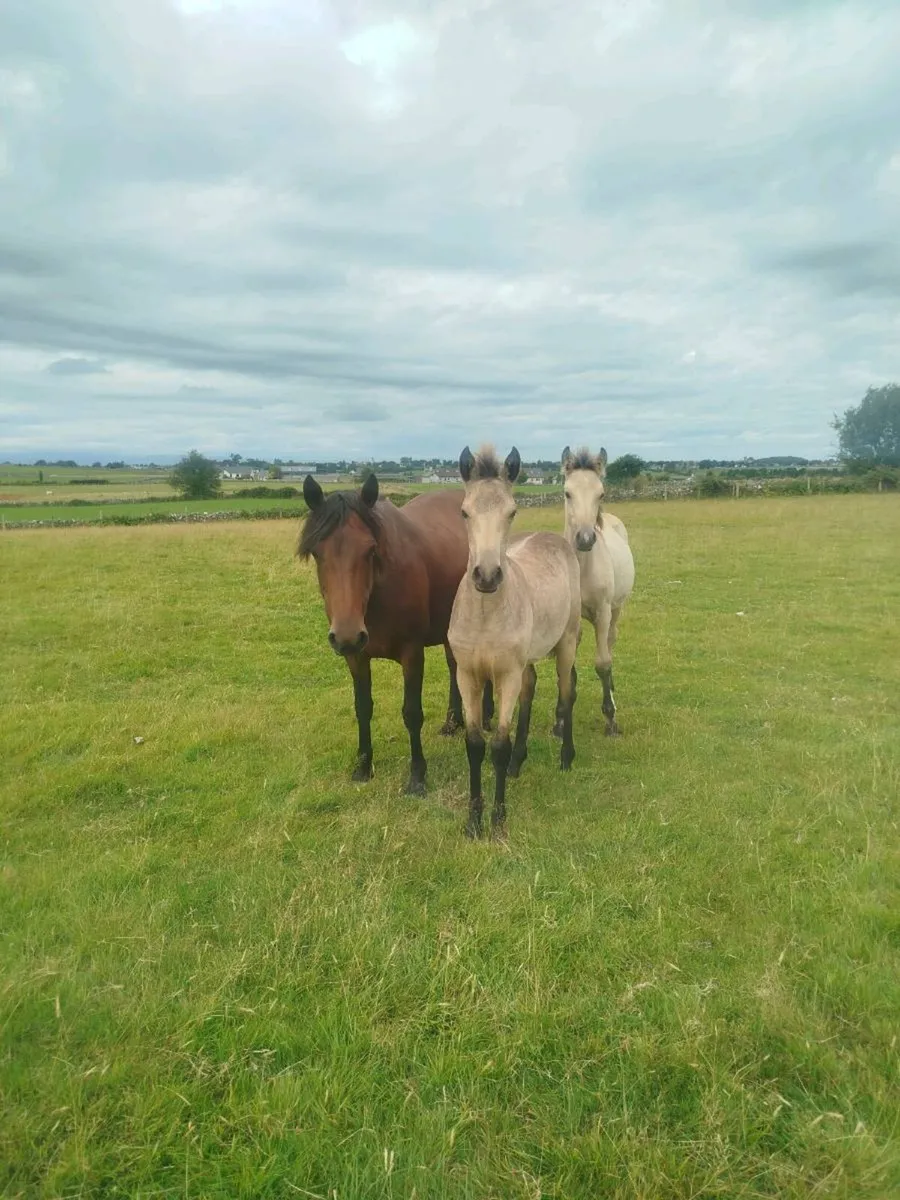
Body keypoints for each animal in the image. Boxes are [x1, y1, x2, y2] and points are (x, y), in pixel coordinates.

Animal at [298, 473, 493, 795]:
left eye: (370, 550)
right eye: (317, 552)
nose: (347, 635)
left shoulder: (411, 653)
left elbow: (412, 713)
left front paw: (417, 777)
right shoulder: (356, 657)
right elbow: (362, 708)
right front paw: (363, 766)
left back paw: (487, 716)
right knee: (455, 666)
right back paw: (453, 722)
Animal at [447, 445, 582, 840]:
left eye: (512, 512)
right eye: (464, 511)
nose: (487, 576)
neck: (485, 618)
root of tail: (555, 539)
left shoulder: (505, 676)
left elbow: (498, 745)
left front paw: (497, 818)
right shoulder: (467, 676)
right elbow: (475, 745)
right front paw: (473, 821)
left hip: (567, 642)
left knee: (566, 692)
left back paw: (566, 757)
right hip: (526, 661)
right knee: (530, 690)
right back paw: (518, 764)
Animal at [557, 446, 635, 737]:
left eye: (600, 494)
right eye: (567, 493)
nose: (585, 538)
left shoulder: (602, 613)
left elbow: (602, 663)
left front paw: (611, 719)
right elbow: (566, 668)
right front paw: (559, 721)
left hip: (616, 609)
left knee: (610, 644)